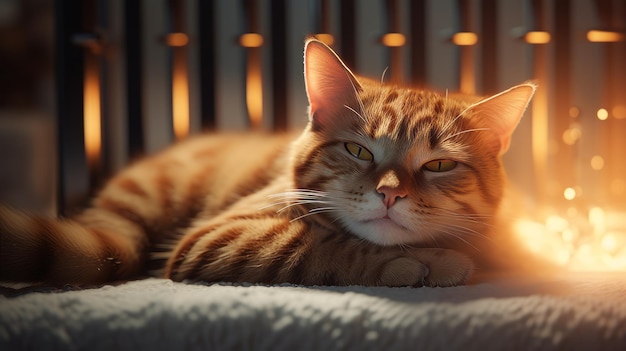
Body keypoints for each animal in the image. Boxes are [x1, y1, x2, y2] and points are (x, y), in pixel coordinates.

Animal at [0, 39, 536, 288]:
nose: (389, 192)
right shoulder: (216, 238)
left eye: (439, 166)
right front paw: (421, 262)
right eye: (359, 150)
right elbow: (317, 247)